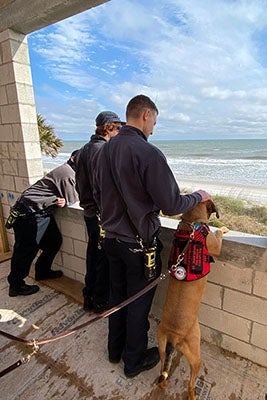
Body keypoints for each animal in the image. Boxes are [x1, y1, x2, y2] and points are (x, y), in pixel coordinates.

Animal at [158, 200, 229, 400]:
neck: (191, 223)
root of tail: (174, 335)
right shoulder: (215, 246)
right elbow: (218, 235)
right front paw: (223, 228)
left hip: (161, 348)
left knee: (162, 374)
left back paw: (163, 385)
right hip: (196, 357)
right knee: (190, 384)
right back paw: (193, 395)